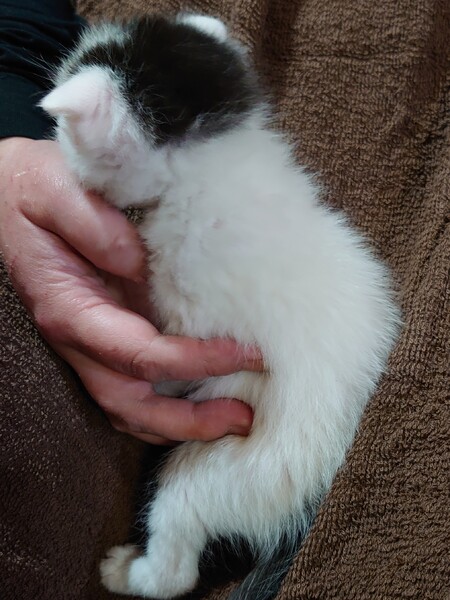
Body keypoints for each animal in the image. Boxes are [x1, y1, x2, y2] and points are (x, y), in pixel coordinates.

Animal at [40, 13, 400, 600]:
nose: (50, 142)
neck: (209, 169)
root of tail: (321, 484)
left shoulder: (199, 316)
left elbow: (173, 353)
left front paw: (160, 384)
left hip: (223, 474)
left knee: (179, 560)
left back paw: (128, 571)